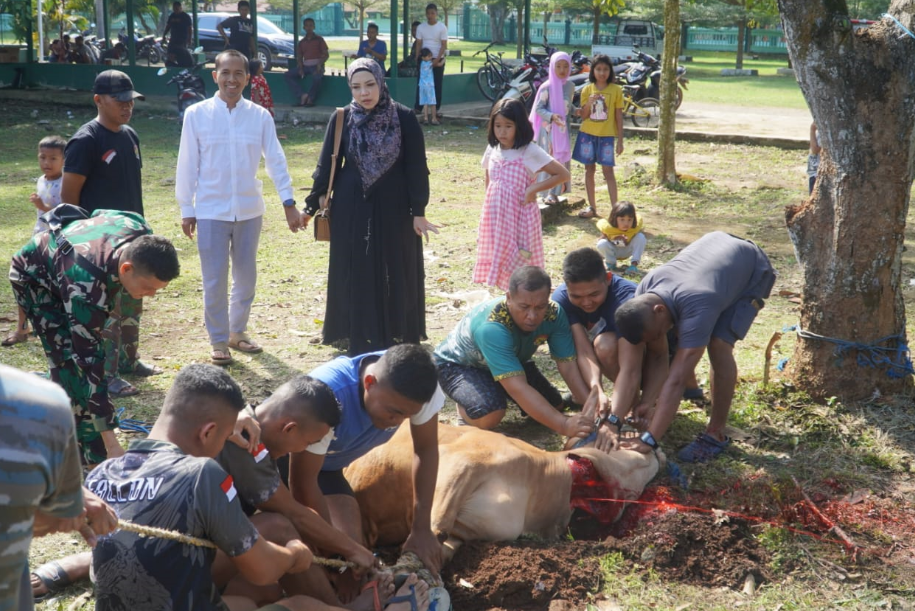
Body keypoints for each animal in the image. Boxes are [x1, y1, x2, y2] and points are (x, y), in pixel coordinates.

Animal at [348, 424, 660, 560]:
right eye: (620, 447)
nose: (657, 451)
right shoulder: (460, 460)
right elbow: (437, 523)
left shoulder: (470, 532)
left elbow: (445, 543)